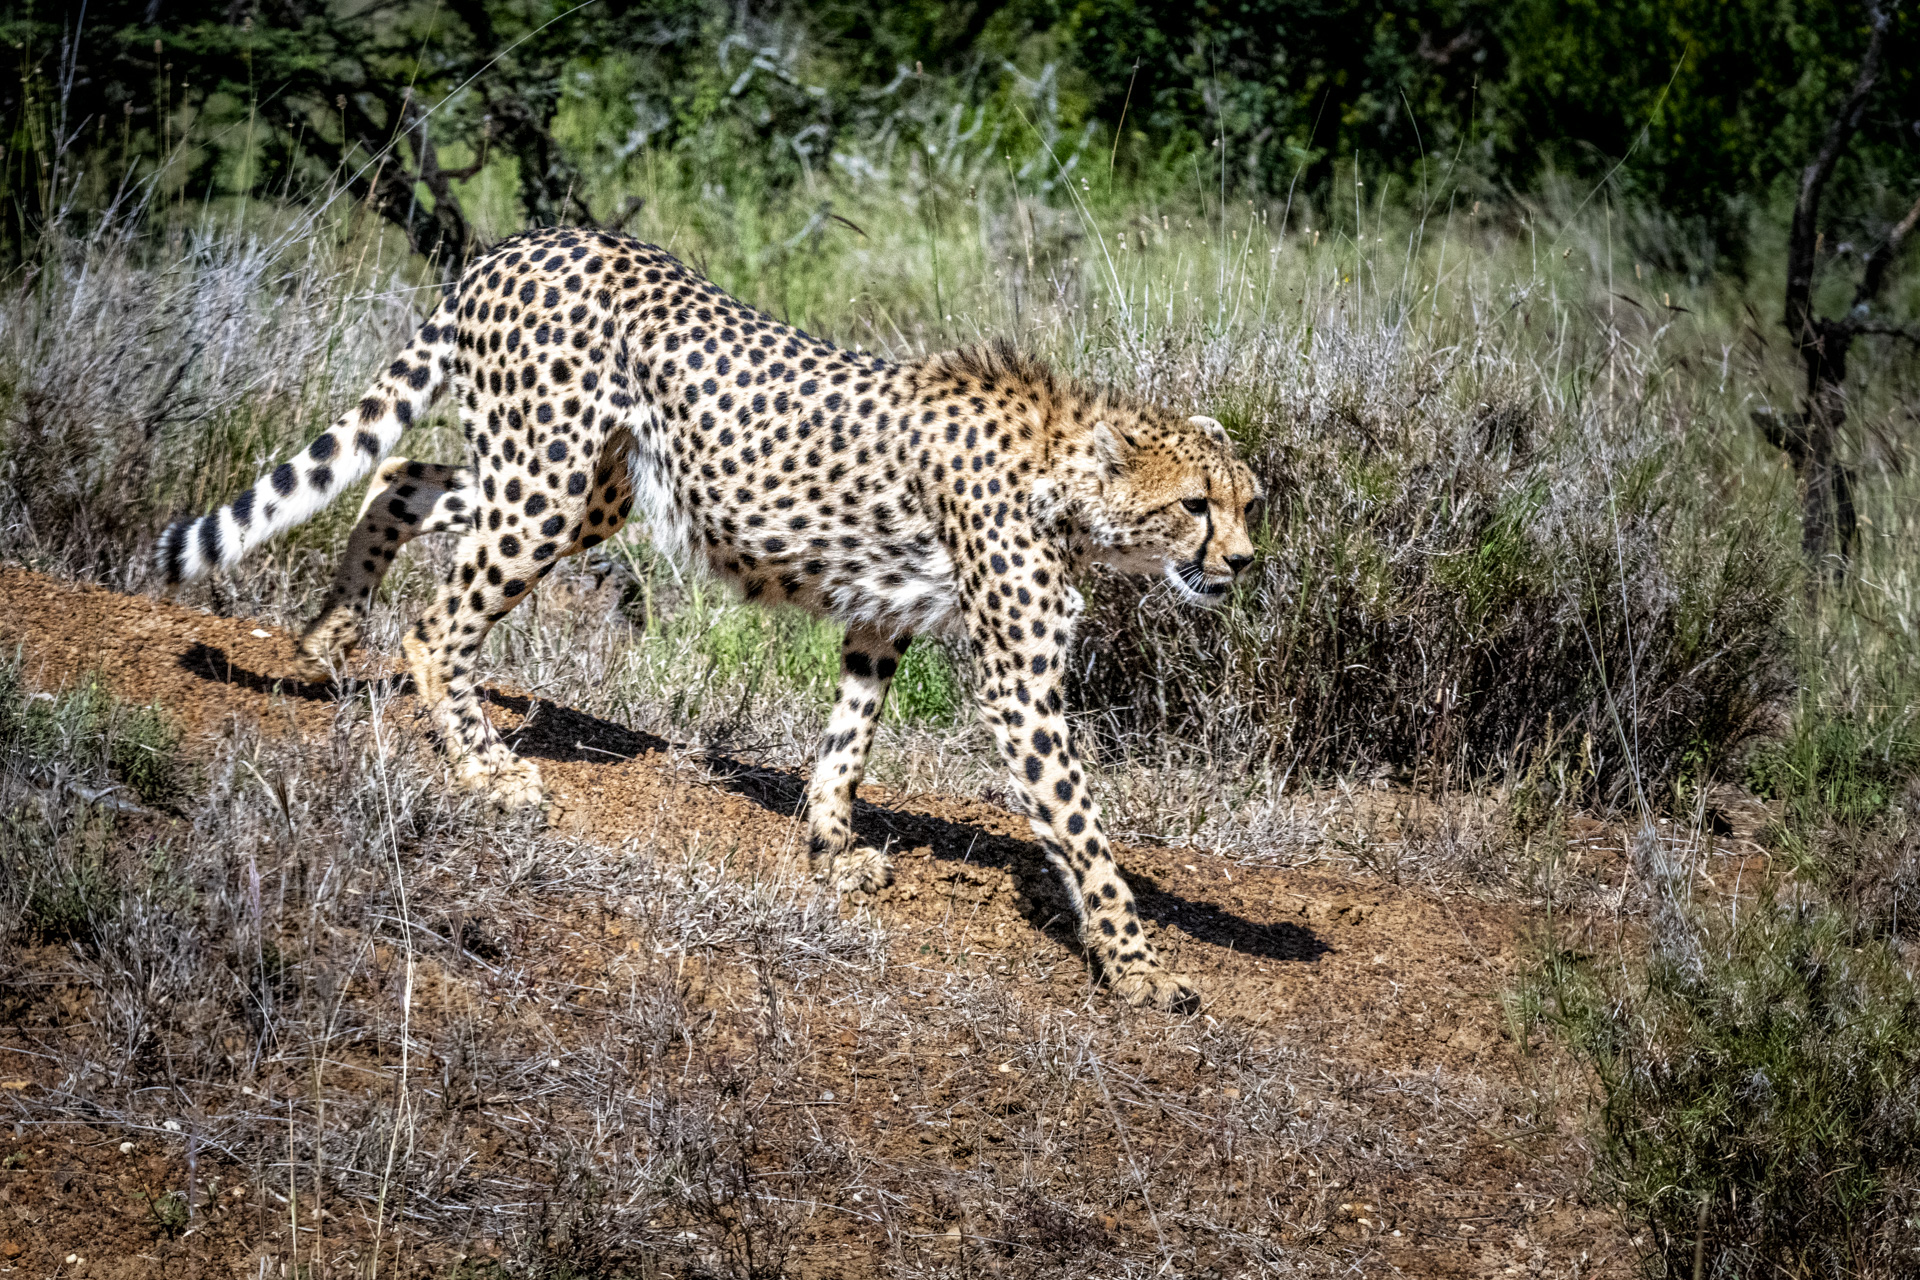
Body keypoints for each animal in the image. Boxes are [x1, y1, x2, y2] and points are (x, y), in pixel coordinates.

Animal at [155, 225, 1262, 1010]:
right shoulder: (1020, 685)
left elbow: (848, 736)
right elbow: (1084, 832)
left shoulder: (882, 617)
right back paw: (485, 770)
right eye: (1196, 506)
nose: (1244, 563)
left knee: (402, 475)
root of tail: (530, 238)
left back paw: (332, 630)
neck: (1070, 484)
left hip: (576, 488)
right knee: (438, 628)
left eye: (1249, 501)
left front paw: (829, 844)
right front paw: (1138, 968)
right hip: (548, 485)